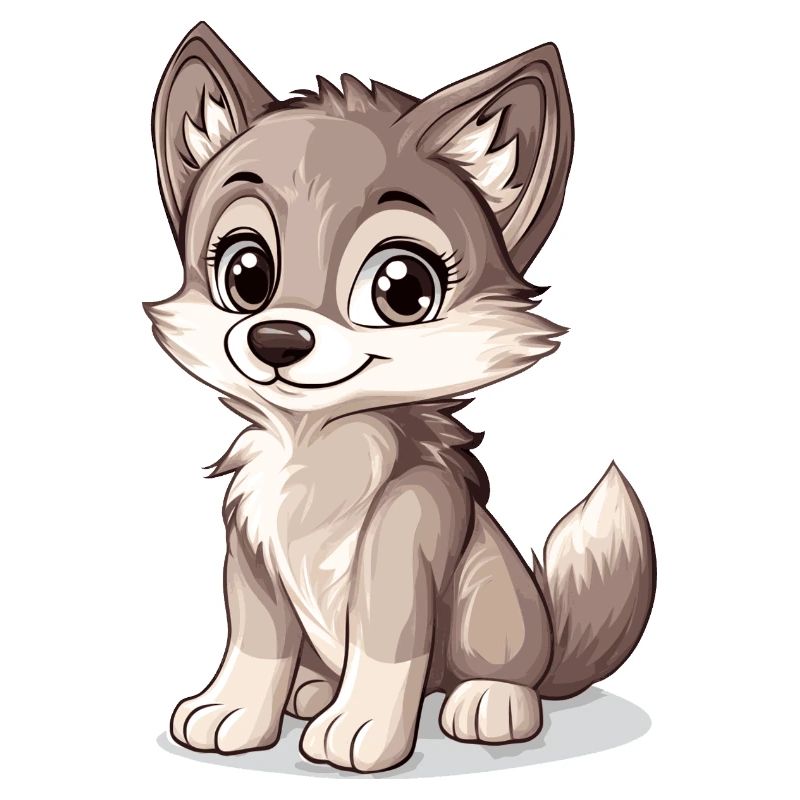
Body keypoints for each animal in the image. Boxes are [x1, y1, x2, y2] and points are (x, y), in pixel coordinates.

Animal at [146, 22, 656, 773]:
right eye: (246, 273)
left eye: (403, 289)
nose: (275, 339)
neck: (319, 444)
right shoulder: (250, 549)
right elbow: (255, 642)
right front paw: (232, 711)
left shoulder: (405, 540)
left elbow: (386, 642)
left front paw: (359, 729)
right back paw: (309, 691)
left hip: (491, 605)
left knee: (502, 672)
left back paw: (489, 702)